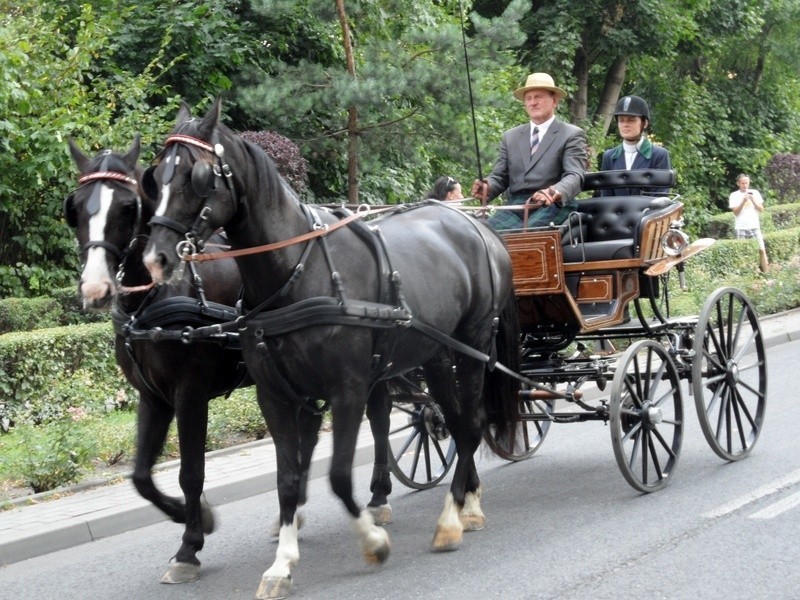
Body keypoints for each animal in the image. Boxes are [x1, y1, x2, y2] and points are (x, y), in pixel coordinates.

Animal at [141, 101, 520, 596]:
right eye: (155, 175)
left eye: (198, 175)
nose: (156, 258)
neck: (297, 273)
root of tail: (476, 224)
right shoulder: (275, 396)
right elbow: (287, 479)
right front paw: (281, 565)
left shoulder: (348, 390)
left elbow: (339, 476)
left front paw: (373, 540)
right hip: (437, 355)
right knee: (456, 424)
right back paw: (468, 503)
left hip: (472, 347)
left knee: (471, 424)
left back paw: (453, 518)